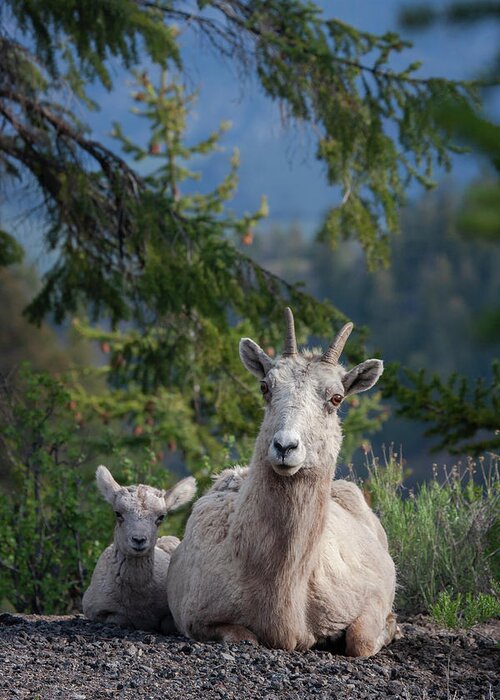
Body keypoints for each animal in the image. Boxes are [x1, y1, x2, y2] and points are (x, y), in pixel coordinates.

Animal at [83, 464, 194, 636]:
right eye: (118, 513)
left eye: (161, 517)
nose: (139, 540)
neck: (138, 601)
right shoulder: (98, 610)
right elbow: (120, 619)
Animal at [168, 308, 398, 652]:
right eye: (265, 387)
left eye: (336, 398)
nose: (285, 447)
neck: (285, 595)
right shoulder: (197, 619)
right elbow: (244, 638)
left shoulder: (371, 598)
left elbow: (360, 642)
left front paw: (391, 629)